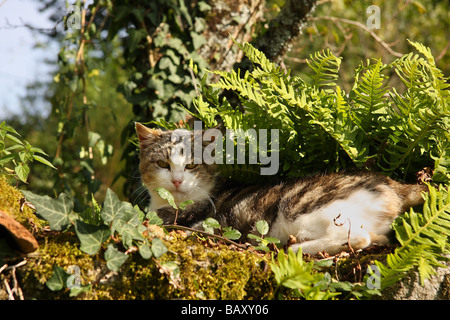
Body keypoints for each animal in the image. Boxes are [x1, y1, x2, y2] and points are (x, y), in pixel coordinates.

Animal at [135, 122, 428, 255]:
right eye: (162, 163)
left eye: (192, 165)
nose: (176, 181)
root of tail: (393, 184)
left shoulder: (203, 223)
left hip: (304, 207)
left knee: (355, 236)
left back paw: (292, 248)